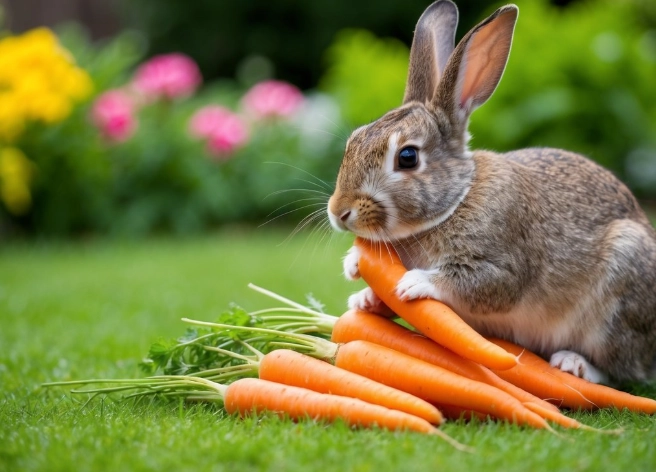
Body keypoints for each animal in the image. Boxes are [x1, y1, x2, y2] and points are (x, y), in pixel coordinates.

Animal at [327, 0, 656, 384]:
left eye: (407, 157)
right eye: (354, 140)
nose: (339, 212)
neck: (456, 201)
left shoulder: (503, 265)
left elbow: (482, 284)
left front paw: (413, 283)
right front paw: (362, 293)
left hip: (622, 286)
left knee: (623, 370)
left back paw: (573, 364)